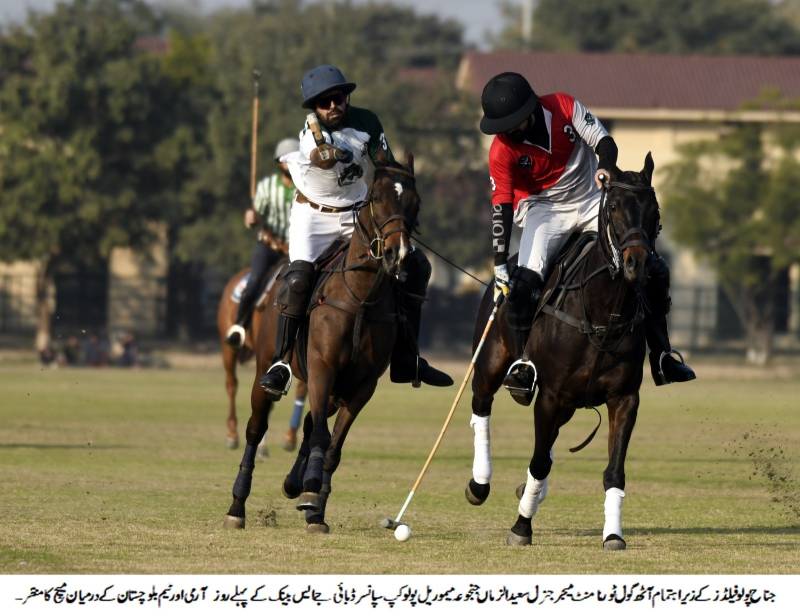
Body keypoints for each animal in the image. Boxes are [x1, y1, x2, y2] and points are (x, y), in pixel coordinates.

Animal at [466, 154, 660, 548]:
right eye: (613, 207)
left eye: (654, 209)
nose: (638, 264)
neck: (603, 313)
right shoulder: (550, 396)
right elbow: (539, 461)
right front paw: (521, 527)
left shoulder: (624, 398)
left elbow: (614, 471)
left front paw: (613, 534)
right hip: (491, 363)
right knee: (481, 405)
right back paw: (479, 483)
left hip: (571, 403)